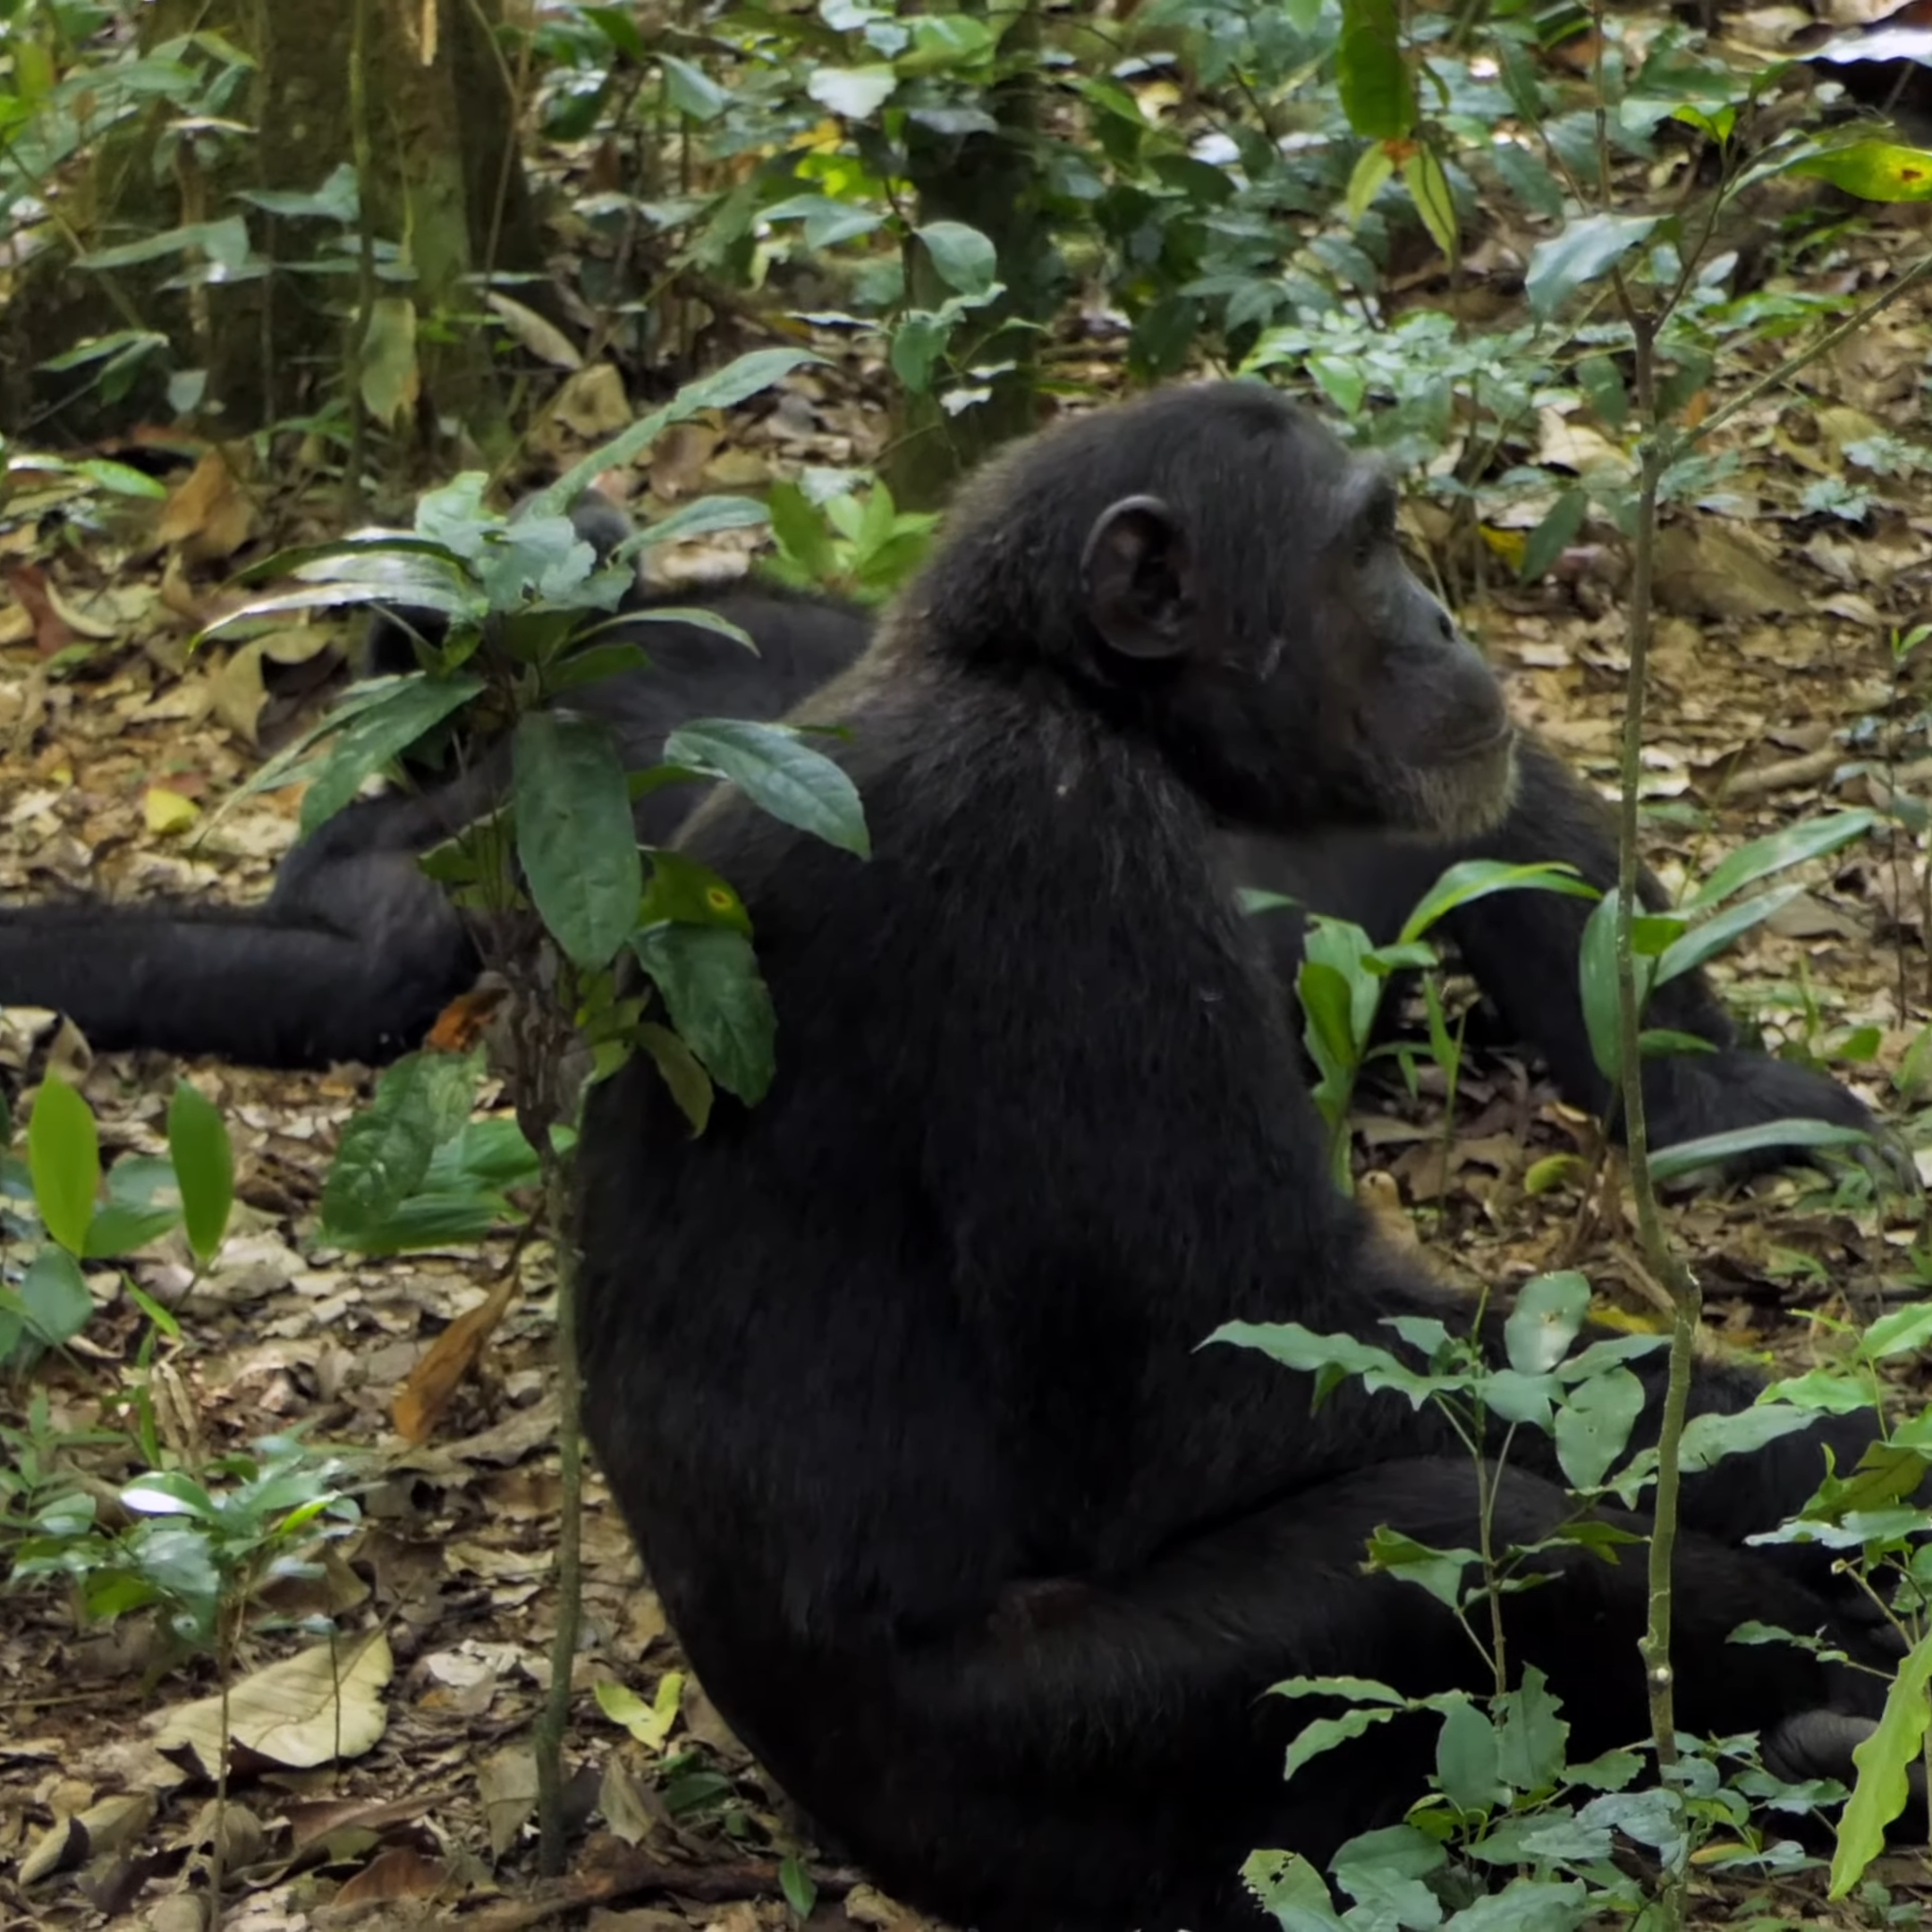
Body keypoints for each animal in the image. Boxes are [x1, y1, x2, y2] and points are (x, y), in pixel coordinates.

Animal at [564, 384, 1909, 1932]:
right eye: (1363, 548)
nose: (1441, 619)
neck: (1077, 699)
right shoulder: (1059, 867)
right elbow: (1230, 1369)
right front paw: (1850, 1457)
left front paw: (1723, 1094)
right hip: (1068, 1774)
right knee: (1458, 1531)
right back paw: (1843, 1718)